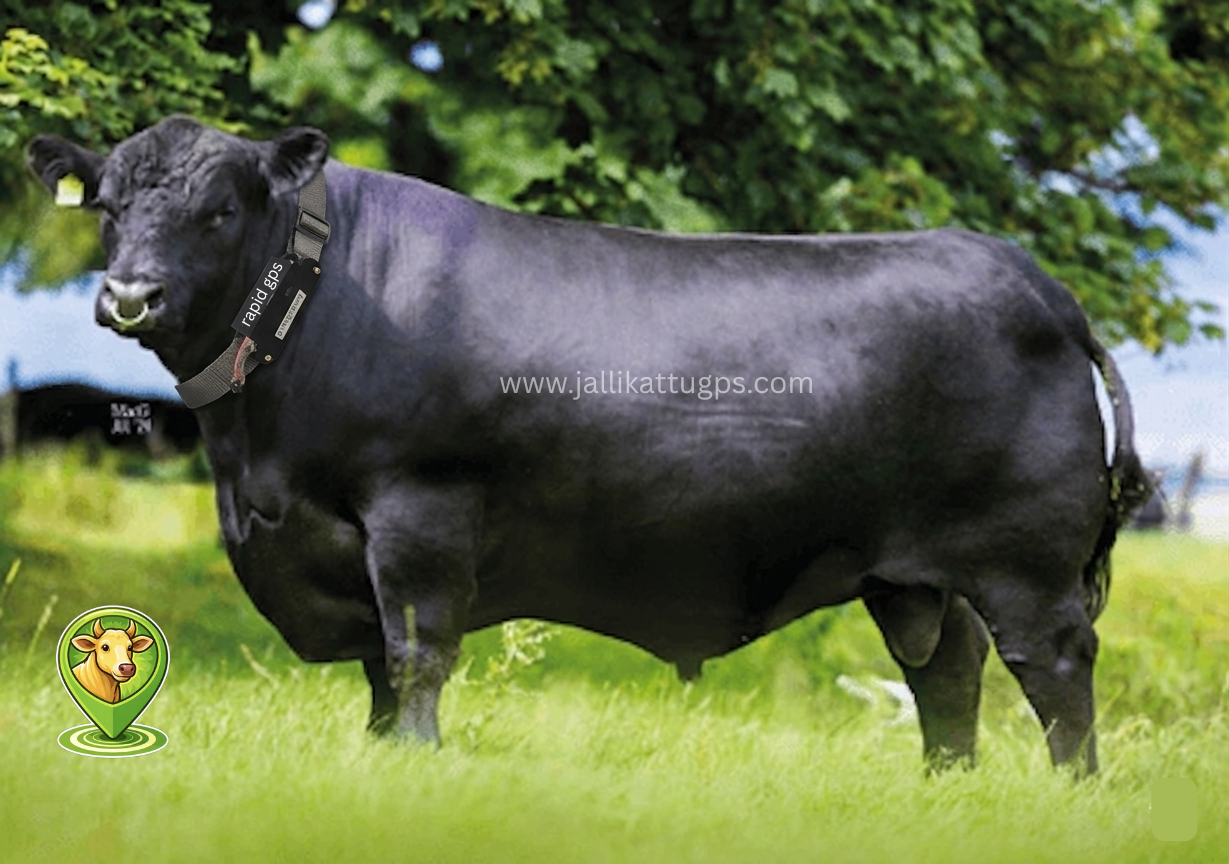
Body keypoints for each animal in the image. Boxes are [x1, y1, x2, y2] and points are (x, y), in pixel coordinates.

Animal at [28, 116, 1150, 774]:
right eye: (109, 208)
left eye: (221, 209)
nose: (128, 296)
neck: (254, 463)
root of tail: (1031, 280)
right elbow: (379, 669)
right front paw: (378, 754)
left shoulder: (419, 509)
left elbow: (415, 651)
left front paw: (417, 764)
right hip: (916, 572)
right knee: (946, 671)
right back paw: (941, 783)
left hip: (1024, 562)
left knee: (1052, 669)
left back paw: (1069, 792)